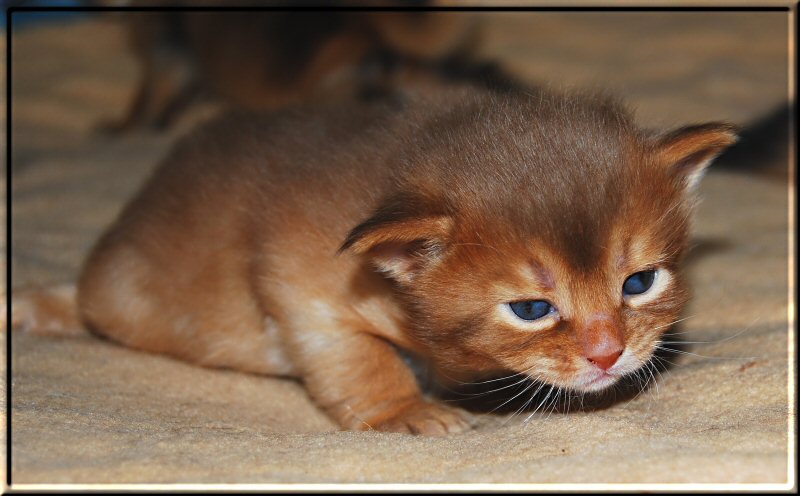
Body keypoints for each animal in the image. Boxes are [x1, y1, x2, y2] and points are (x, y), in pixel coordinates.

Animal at [10, 88, 736, 434]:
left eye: (639, 282)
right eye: (532, 308)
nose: (609, 354)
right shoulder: (300, 283)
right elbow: (359, 358)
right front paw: (403, 412)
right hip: (124, 291)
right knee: (88, 300)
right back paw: (38, 308)